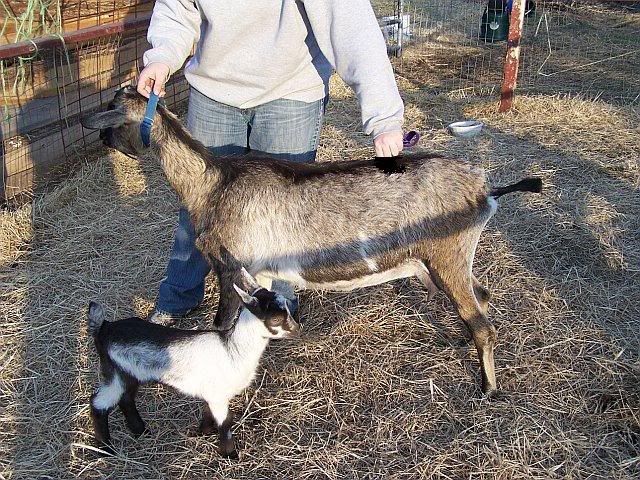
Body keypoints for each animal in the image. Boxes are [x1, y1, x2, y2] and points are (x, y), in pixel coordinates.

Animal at [81, 86, 542, 395]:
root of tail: (485, 188)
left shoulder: (231, 267)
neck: (213, 183)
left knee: (483, 323)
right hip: (436, 262)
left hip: (447, 255)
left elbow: (221, 326)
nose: (98, 136)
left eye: (112, 111)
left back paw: (488, 387)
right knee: (480, 296)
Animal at [87, 269, 300, 459]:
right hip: (114, 372)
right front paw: (229, 454)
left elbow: (208, 412)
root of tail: (104, 328)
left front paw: (204, 431)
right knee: (99, 403)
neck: (232, 348)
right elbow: (226, 422)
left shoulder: (212, 393)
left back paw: (140, 430)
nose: (298, 329)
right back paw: (106, 449)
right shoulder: (218, 395)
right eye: (275, 318)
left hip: (129, 373)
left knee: (126, 398)